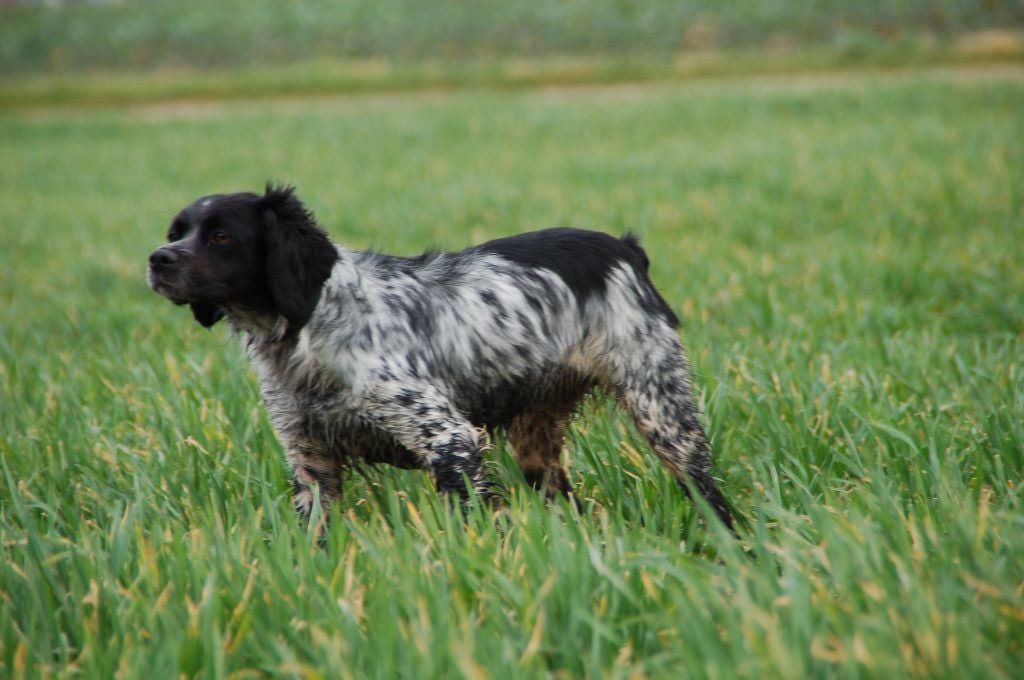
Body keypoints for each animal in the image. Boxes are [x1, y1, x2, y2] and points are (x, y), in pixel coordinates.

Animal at [146, 184, 737, 532]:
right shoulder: (310, 459)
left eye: (222, 235)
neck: (309, 325)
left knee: (706, 488)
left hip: (662, 410)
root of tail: (624, 248)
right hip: (538, 443)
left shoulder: (448, 438)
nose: (157, 259)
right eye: (176, 232)